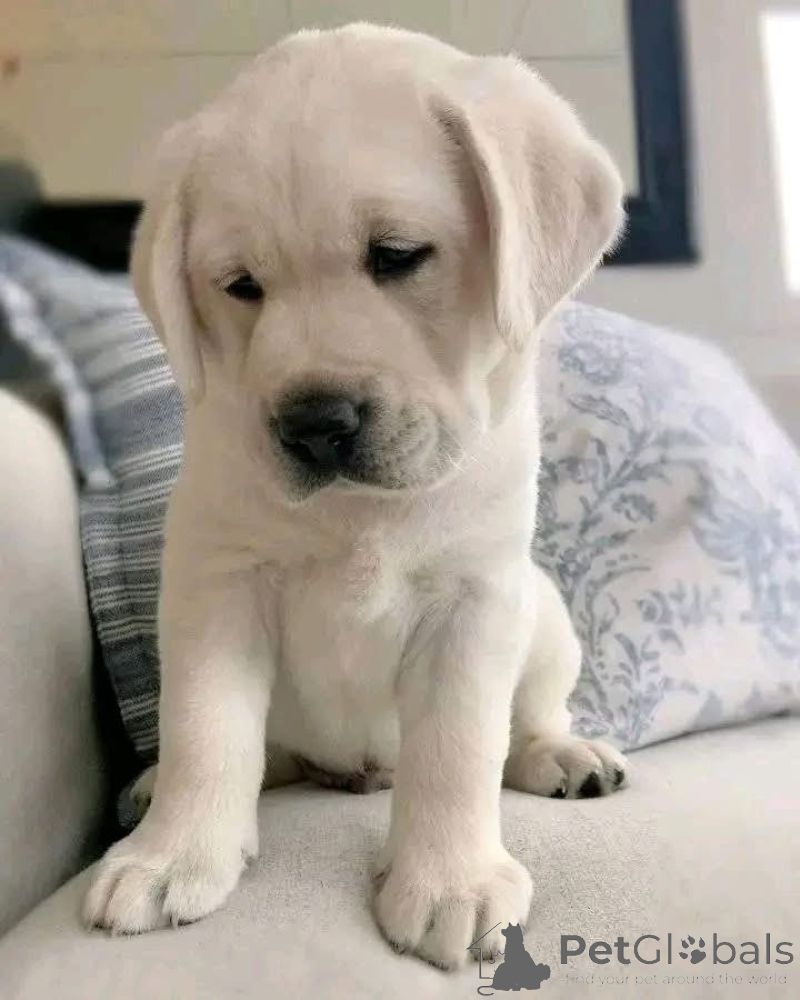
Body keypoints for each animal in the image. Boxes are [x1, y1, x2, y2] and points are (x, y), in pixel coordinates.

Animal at [84, 23, 627, 969]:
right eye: (241, 285)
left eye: (398, 256)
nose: (315, 424)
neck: (359, 513)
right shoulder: (217, 586)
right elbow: (206, 731)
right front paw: (170, 854)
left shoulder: (475, 598)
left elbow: (457, 749)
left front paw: (451, 880)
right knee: (266, 753)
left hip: (547, 614)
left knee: (525, 722)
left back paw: (561, 755)